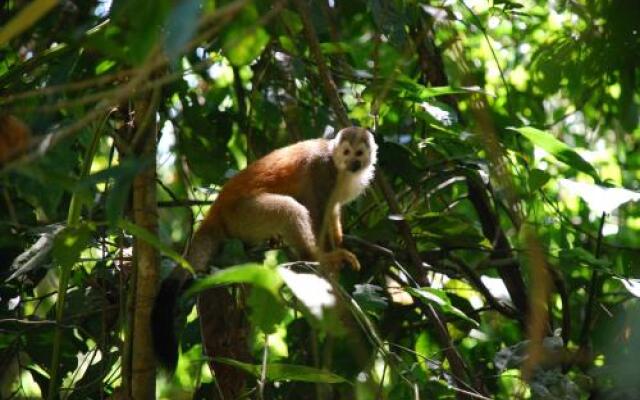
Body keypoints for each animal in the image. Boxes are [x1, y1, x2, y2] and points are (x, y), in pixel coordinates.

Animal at [152, 126, 378, 370]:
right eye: (346, 152)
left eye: (359, 153)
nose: (353, 163)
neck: (339, 167)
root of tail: (217, 210)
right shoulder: (323, 172)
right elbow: (316, 211)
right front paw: (329, 256)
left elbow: (332, 211)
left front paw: (338, 241)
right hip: (243, 215)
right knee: (290, 209)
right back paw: (315, 258)